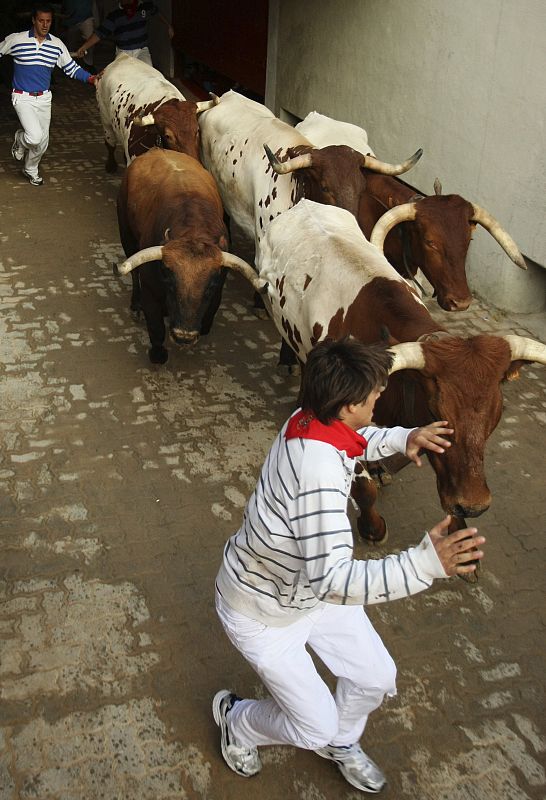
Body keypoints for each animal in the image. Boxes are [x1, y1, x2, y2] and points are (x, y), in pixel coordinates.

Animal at [114, 147, 264, 362]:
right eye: (169, 279)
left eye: (210, 286)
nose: (184, 336)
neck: (193, 229)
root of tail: (157, 149)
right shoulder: (151, 290)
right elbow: (156, 328)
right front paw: (158, 354)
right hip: (126, 234)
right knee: (133, 273)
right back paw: (135, 306)